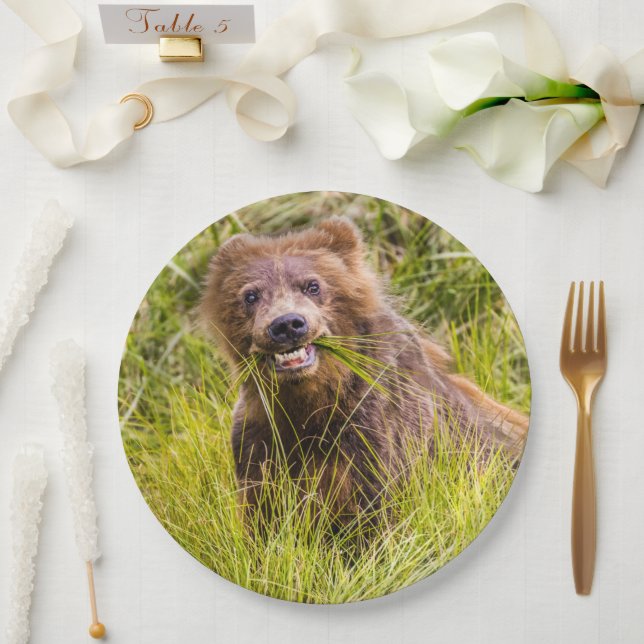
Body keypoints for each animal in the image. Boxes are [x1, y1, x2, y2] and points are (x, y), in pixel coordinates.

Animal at [200, 216, 528, 528]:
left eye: (313, 285)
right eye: (250, 295)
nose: (287, 324)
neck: (310, 401)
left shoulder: (372, 432)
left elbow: (373, 515)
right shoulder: (261, 436)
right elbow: (263, 514)